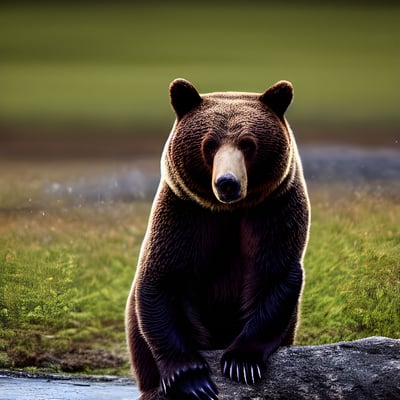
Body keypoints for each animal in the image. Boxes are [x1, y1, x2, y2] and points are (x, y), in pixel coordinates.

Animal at [126, 79, 310, 400]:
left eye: (247, 143)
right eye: (210, 143)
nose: (227, 182)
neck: (230, 211)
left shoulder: (274, 210)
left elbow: (274, 275)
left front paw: (242, 363)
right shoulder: (185, 214)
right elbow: (163, 280)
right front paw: (193, 380)